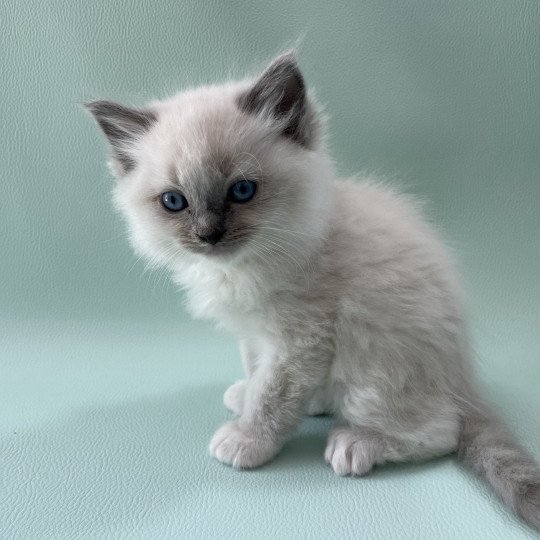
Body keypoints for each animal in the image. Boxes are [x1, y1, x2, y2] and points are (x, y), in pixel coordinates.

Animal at [85, 51, 540, 528]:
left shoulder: (301, 339)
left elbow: (272, 395)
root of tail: (464, 381)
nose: (209, 235)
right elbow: (255, 372)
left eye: (242, 190)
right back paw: (319, 401)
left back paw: (357, 442)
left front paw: (247, 440)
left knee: (441, 431)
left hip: (372, 369)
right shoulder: (256, 335)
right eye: (175, 202)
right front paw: (245, 396)